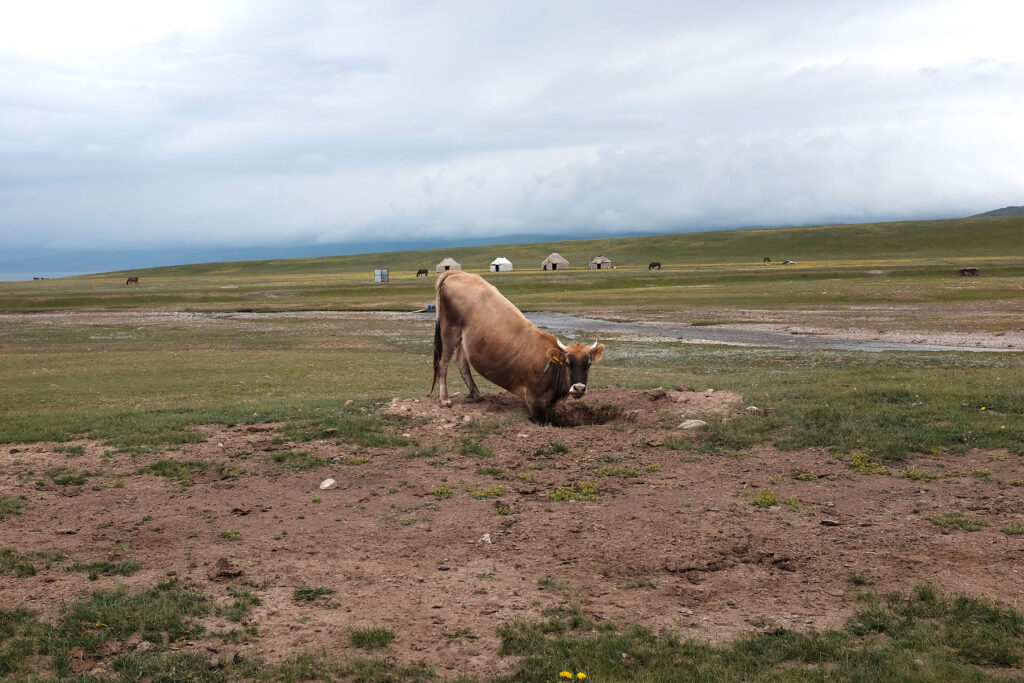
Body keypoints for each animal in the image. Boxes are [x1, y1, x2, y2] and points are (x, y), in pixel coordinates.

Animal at [430, 270, 604, 424]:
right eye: (567, 363)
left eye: (588, 364)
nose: (579, 388)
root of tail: (457, 272)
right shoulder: (534, 402)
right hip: (449, 330)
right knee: (443, 363)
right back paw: (445, 400)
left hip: (463, 337)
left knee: (461, 361)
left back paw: (476, 394)